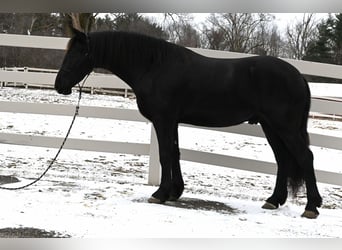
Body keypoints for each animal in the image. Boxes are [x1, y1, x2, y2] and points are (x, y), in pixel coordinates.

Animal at [54, 28, 322, 218]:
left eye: (80, 53)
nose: (60, 85)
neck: (154, 66)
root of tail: (299, 77)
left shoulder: (163, 119)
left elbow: (165, 154)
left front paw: (160, 193)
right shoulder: (172, 121)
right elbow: (175, 153)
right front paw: (175, 191)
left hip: (284, 127)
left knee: (304, 157)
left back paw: (311, 207)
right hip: (270, 126)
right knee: (283, 160)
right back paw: (273, 200)